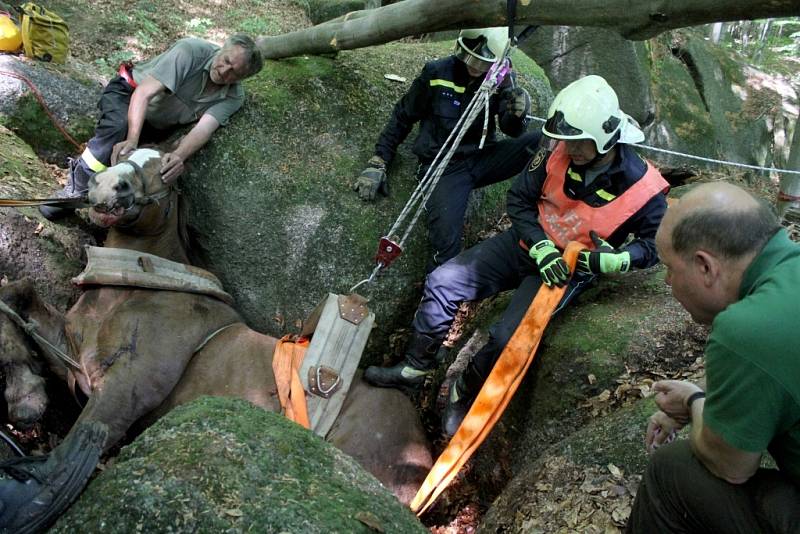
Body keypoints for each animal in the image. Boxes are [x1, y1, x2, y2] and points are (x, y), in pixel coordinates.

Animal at [0, 149, 432, 532]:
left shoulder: (131, 384)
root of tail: (421, 453)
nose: (108, 185)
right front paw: (24, 388)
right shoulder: (72, 351)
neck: (135, 287)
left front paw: (27, 497)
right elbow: (18, 293)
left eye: (167, 169)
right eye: (123, 152)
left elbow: (80, 442)